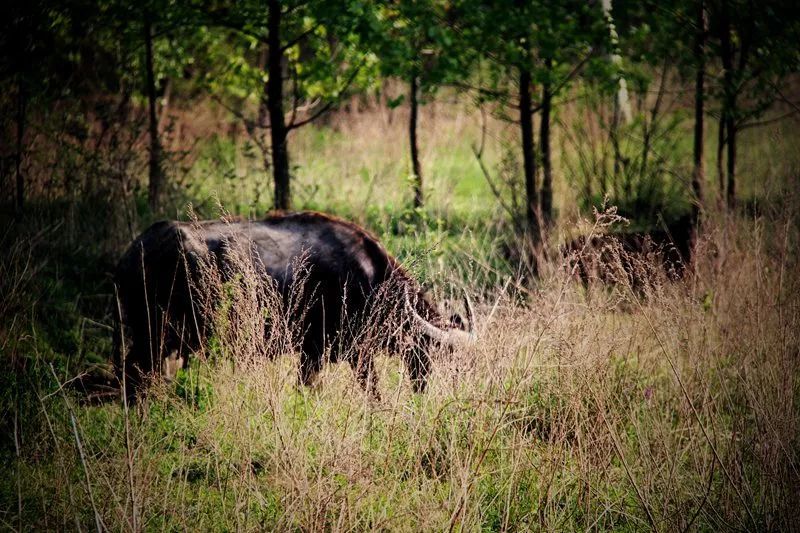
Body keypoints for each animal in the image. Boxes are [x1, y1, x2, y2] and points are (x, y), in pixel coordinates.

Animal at [112, 210, 476, 396]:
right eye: (426, 348)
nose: (423, 387)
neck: (367, 277)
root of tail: (134, 252)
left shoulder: (322, 354)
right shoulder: (338, 352)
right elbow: (369, 390)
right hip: (153, 335)